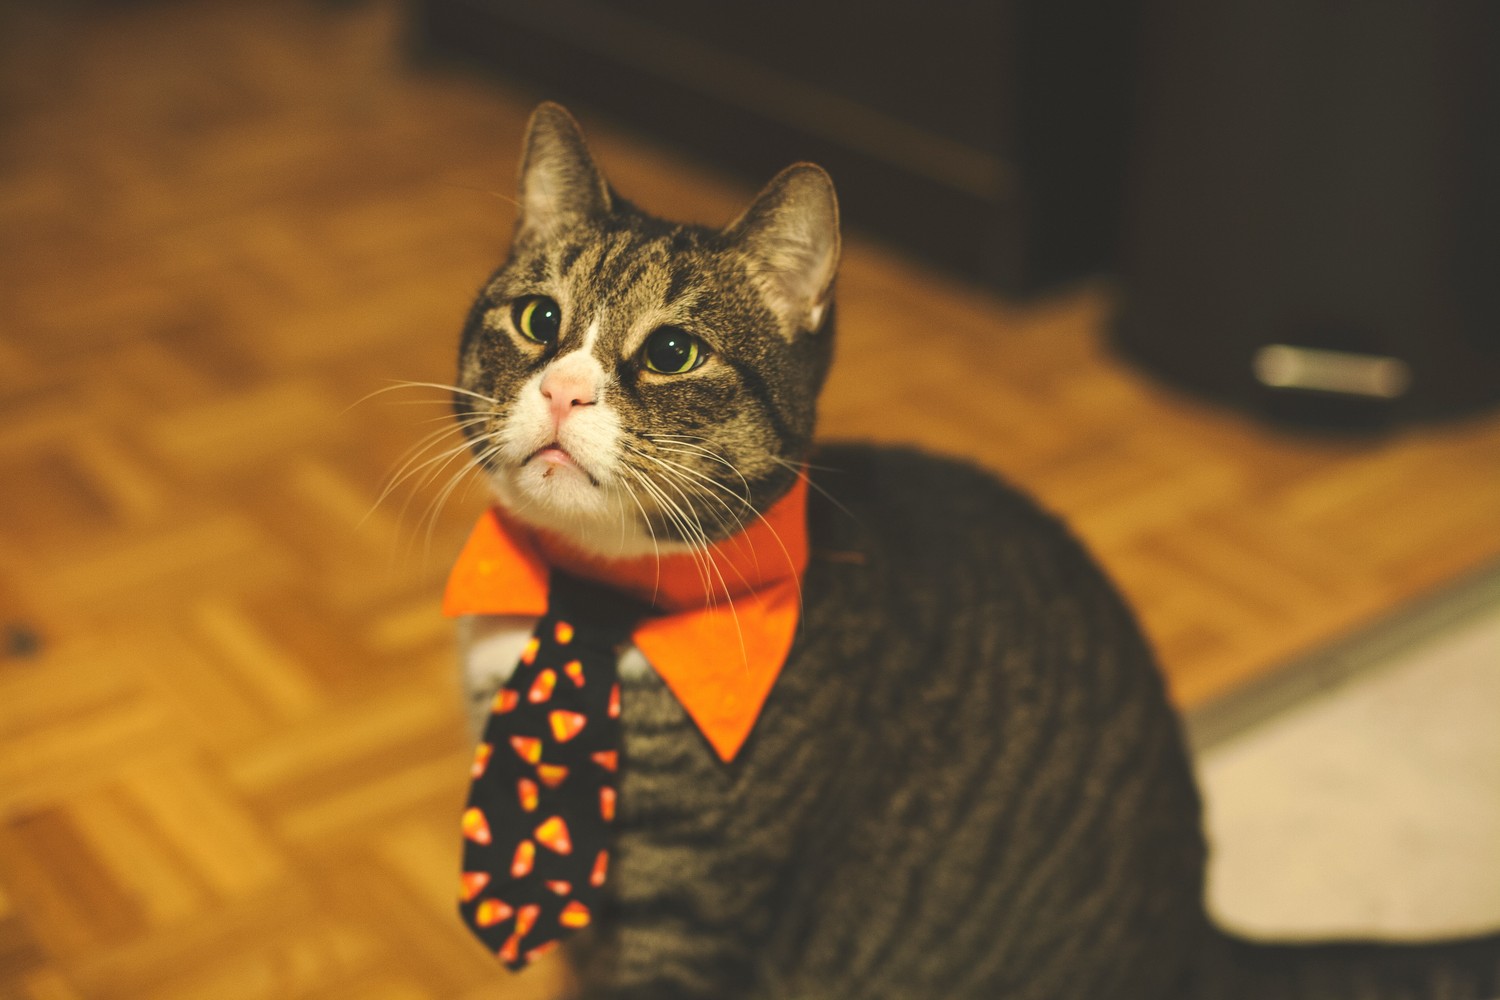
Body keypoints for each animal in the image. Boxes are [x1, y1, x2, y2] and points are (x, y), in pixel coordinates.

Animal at [444, 103, 1500, 1000]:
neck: (586, 604)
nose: (564, 391)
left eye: (671, 354)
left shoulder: (688, 915)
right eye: (538, 320)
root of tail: (1201, 937)